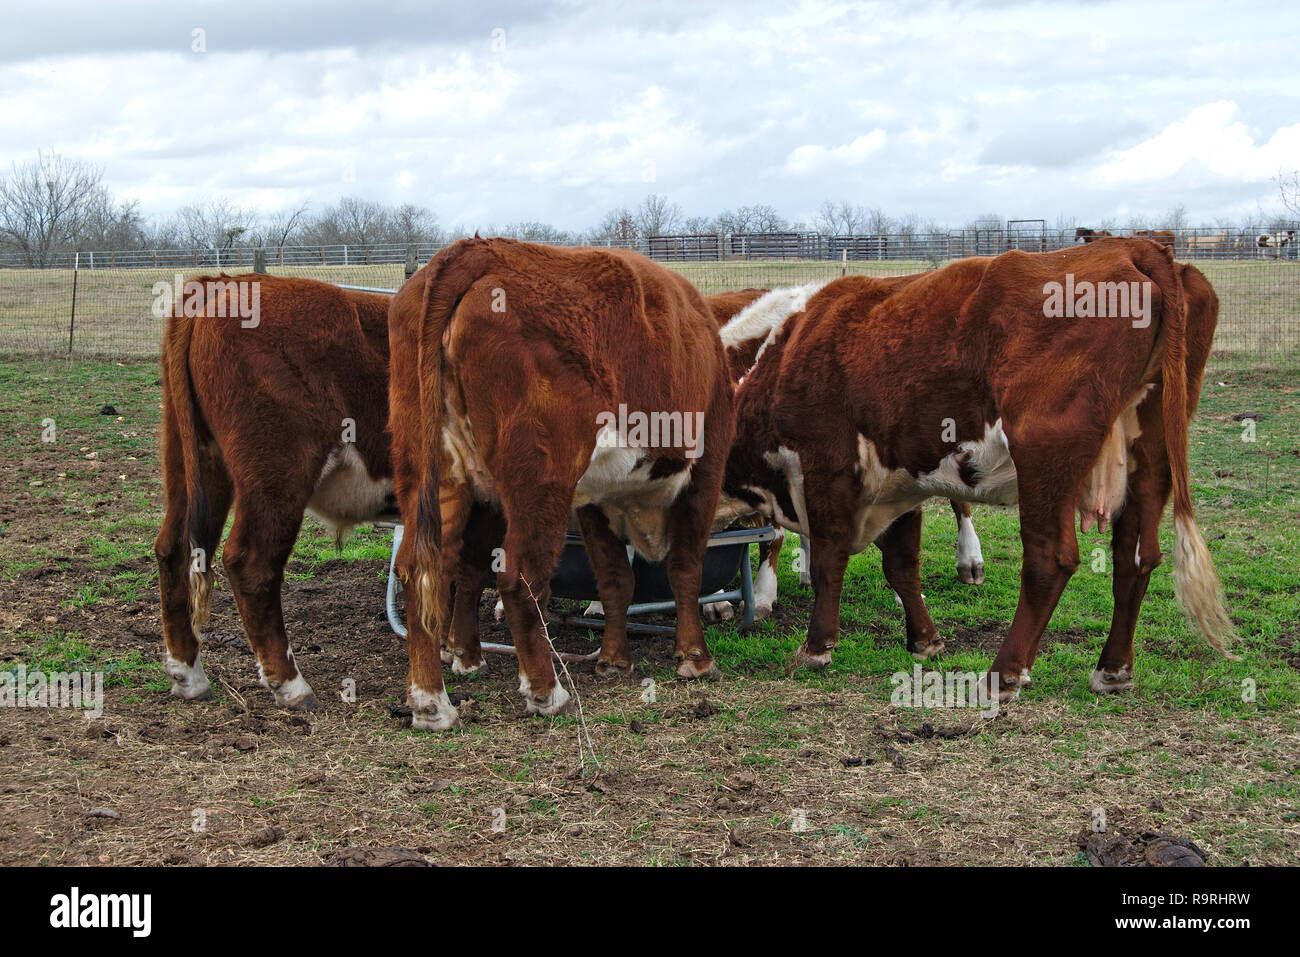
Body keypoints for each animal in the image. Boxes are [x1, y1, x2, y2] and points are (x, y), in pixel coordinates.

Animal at [156, 273, 395, 707]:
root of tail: (229, 282)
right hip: (276, 476)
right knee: (252, 564)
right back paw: (291, 684)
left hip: (191, 461)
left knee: (174, 549)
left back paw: (188, 674)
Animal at [384, 235, 733, 728]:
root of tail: (477, 249)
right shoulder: (704, 471)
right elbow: (685, 568)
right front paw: (695, 658)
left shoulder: (593, 500)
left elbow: (615, 578)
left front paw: (613, 659)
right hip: (541, 482)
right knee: (518, 579)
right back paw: (546, 692)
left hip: (434, 474)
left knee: (423, 570)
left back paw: (431, 701)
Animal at [728, 239, 1232, 696]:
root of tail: (1134, 246)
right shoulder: (898, 480)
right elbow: (901, 563)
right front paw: (925, 640)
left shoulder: (826, 467)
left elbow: (828, 561)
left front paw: (816, 646)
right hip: (1149, 457)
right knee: (1137, 557)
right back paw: (1113, 670)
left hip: (1044, 456)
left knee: (1050, 560)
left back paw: (1003, 673)